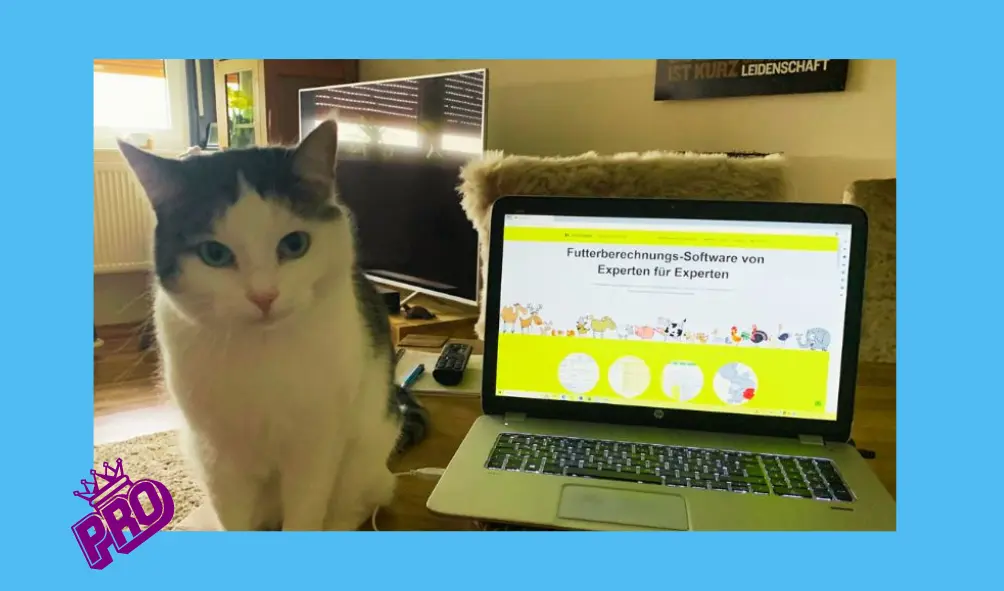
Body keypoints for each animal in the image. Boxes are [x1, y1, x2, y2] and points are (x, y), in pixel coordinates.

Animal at [116, 118, 423, 529]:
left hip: (367, 451)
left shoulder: (314, 449)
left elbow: (305, 514)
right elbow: (232, 518)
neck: (261, 354)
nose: (264, 296)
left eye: (294, 245)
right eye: (214, 254)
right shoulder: (218, 458)